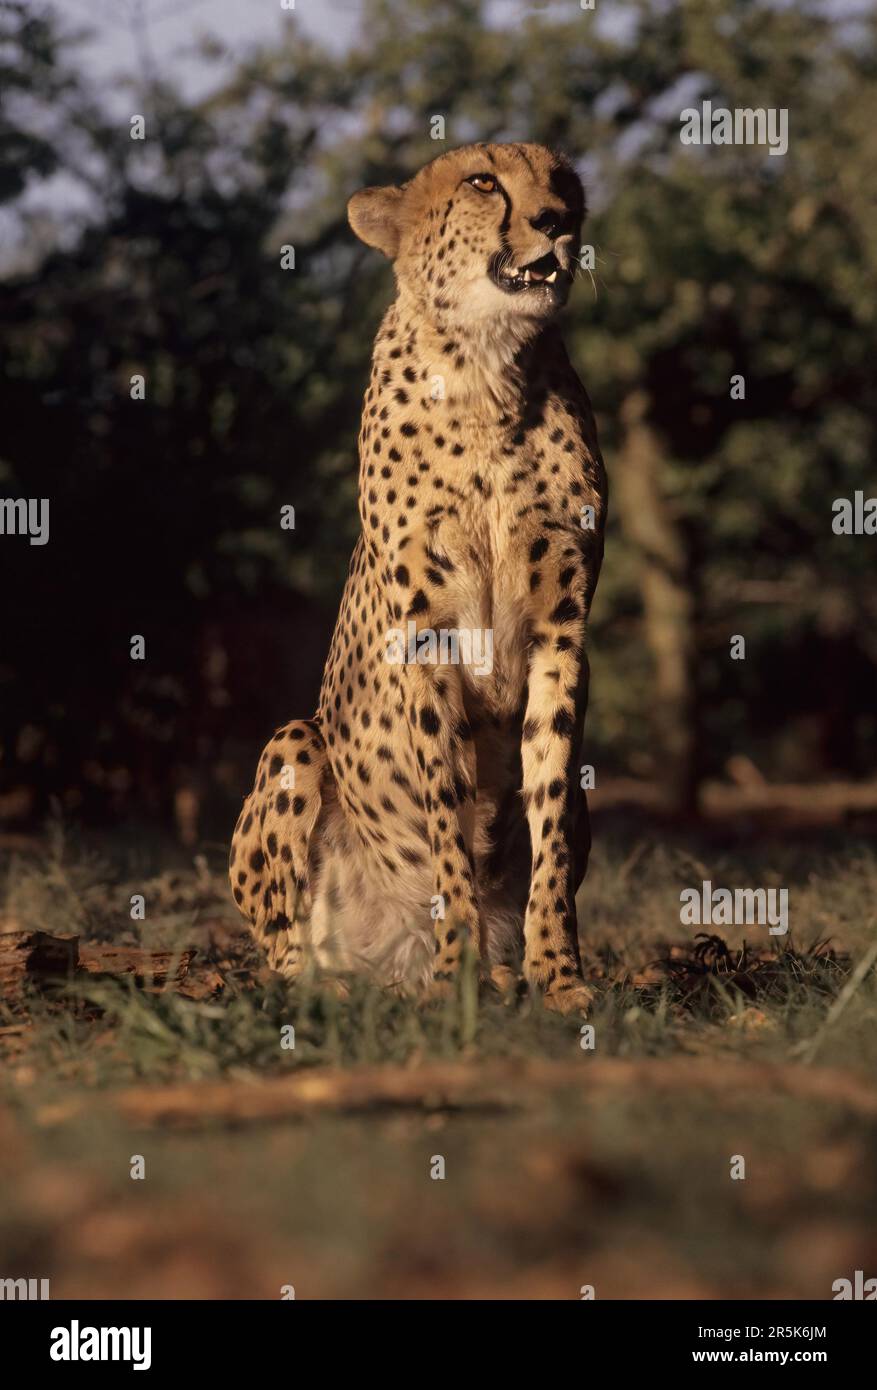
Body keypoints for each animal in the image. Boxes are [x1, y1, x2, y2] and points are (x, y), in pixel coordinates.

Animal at [229, 142, 607, 1013]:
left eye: (563, 183)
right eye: (483, 182)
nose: (556, 221)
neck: (489, 372)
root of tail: (385, 963)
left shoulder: (562, 630)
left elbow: (544, 809)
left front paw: (556, 975)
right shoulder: (426, 636)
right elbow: (445, 808)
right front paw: (456, 967)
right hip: (294, 741)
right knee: (284, 952)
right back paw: (344, 985)